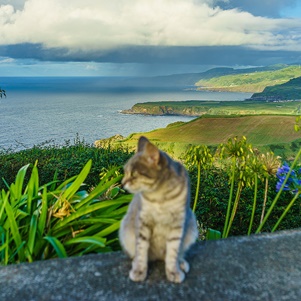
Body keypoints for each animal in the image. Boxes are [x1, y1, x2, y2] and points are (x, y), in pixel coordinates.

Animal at [118, 136, 198, 282]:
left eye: (133, 174)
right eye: (125, 172)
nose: (122, 183)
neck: (160, 196)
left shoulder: (177, 224)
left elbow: (173, 252)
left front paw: (173, 271)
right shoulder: (143, 222)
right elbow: (141, 250)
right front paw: (139, 270)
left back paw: (181, 263)